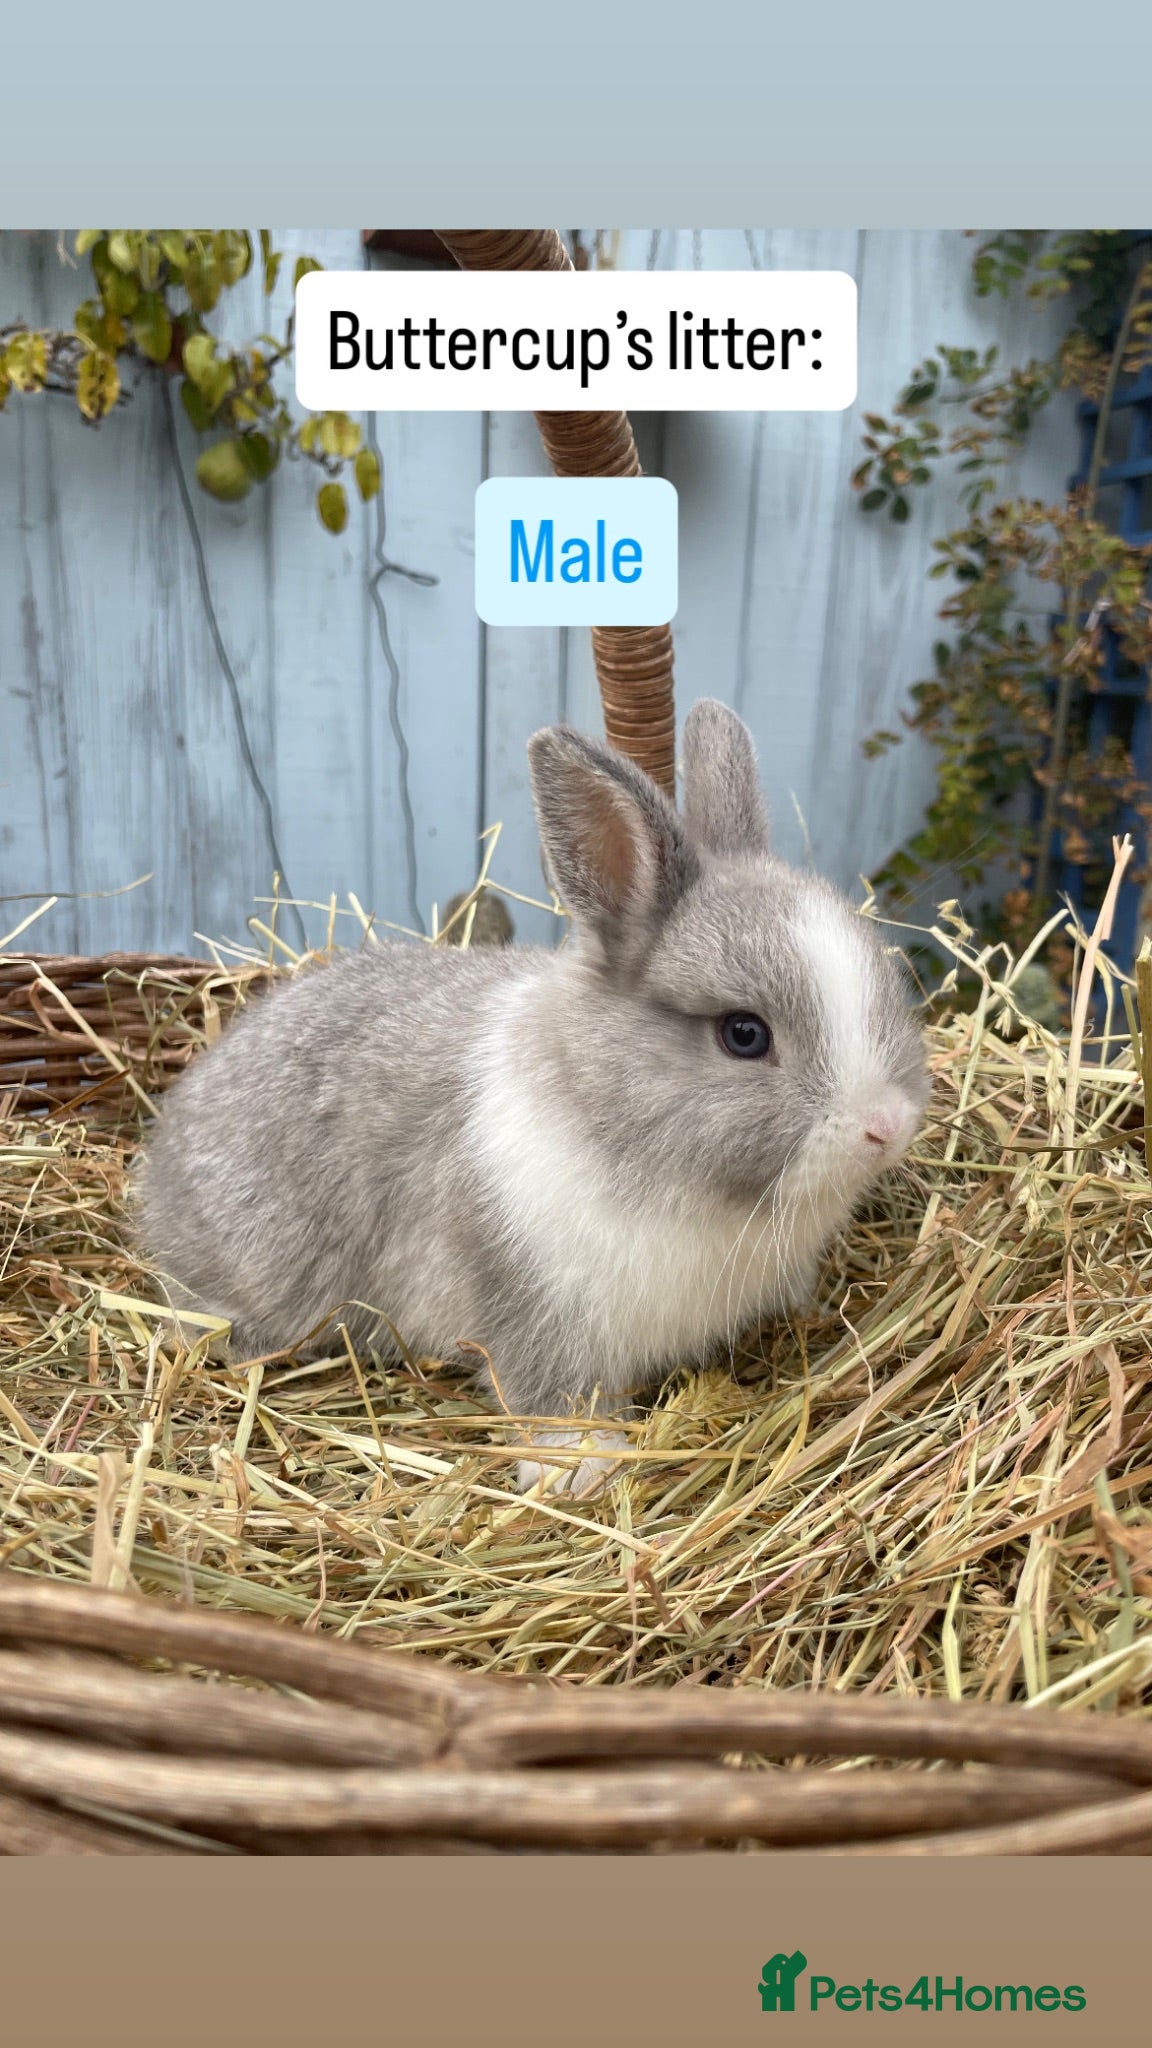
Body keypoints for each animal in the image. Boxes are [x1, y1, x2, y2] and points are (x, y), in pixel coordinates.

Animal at [134, 699, 930, 1498]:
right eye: (743, 1033)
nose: (886, 1126)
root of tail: (160, 1162)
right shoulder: (529, 1306)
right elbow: (549, 1393)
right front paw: (581, 1468)